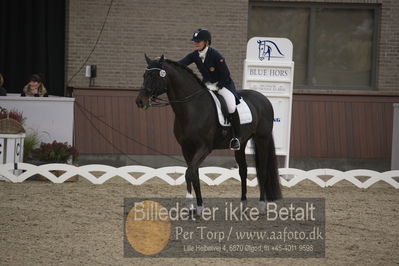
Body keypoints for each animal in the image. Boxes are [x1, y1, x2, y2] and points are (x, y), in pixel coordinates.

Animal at [136, 55, 282, 213]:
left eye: (154, 76)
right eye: (144, 75)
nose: (139, 101)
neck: (192, 108)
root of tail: (264, 98)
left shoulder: (204, 147)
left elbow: (189, 173)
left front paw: (191, 204)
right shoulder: (186, 148)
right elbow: (194, 174)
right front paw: (197, 207)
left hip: (262, 139)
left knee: (262, 171)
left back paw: (261, 205)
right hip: (241, 143)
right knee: (243, 171)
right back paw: (243, 204)